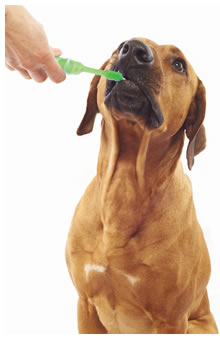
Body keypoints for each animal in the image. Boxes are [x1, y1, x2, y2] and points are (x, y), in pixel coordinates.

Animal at [65, 37, 218, 332]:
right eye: (118, 47)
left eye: (179, 64)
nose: (134, 50)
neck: (124, 186)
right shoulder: (85, 305)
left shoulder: (172, 320)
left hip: (196, 326)